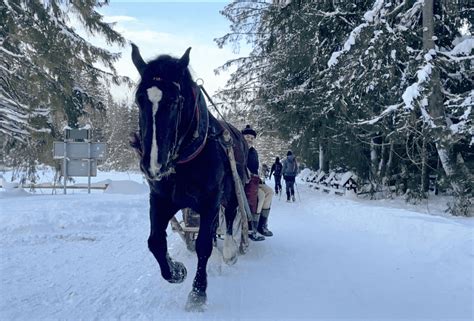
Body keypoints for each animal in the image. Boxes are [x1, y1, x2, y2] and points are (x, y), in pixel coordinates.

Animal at [130, 43, 248, 308]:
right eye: (139, 99)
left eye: (175, 101)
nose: (153, 165)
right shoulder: (162, 200)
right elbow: (155, 242)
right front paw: (176, 271)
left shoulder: (210, 201)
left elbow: (203, 245)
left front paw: (198, 292)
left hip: (231, 195)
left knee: (230, 218)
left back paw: (230, 250)